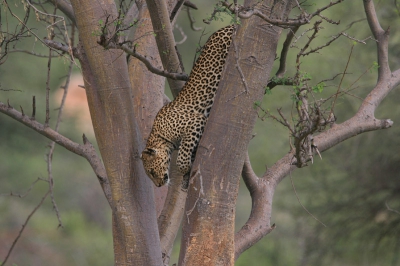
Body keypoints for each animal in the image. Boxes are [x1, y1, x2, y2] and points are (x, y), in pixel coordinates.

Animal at [141, 24, 234, 187]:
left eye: (151, 172)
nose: (158, 185)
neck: (159, 134)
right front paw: (185, 178)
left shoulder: (195, 121)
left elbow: (181, 159)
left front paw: (186, 168)